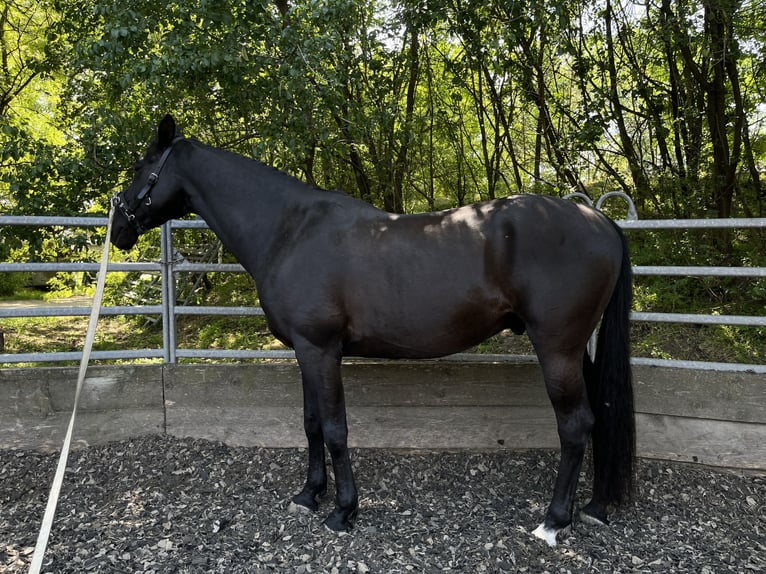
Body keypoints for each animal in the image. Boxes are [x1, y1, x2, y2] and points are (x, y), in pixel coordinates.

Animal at [111, 114, 635, 546]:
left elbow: (335, 428)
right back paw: (594, 507)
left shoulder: (321, 350)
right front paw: (309, 496)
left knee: (575, 426)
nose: (117, 229)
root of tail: (599, 219)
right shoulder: (305, 351)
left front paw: (343, 511)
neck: (289, 230)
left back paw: (554, 520)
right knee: (600, 417)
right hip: (578, 350)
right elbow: (311, 423)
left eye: (140, 166)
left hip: (558, 348)